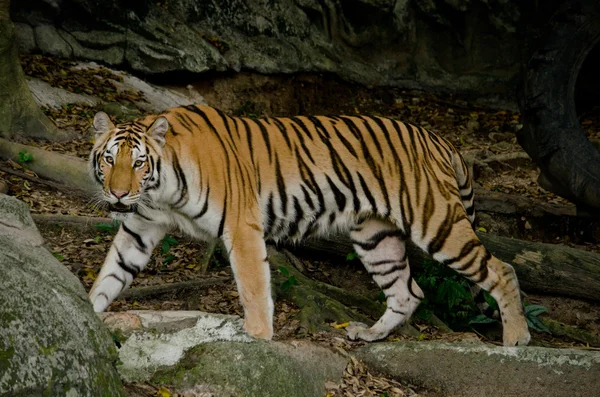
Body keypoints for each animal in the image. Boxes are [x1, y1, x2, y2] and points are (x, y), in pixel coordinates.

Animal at [88, 103, 528, 344]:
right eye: (109, 159)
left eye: (138, 162)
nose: (119, 195)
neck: (160, 190)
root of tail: (438, 139)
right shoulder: (140, 228)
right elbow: (110, 274)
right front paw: (87, 311)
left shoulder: (241, 226)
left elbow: (253, 285)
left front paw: (258, 335)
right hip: (375, 236)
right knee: (408, 291)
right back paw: (370, 334)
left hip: (436, 222)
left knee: (501, 270)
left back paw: (516, 339)